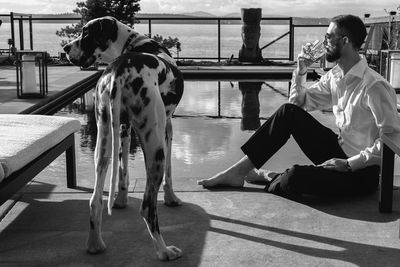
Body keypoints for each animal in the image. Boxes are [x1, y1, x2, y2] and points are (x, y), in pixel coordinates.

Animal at [63, 15, 184, 260]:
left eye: (86, 32)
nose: (65, 49)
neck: (133, 44)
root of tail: (119, 70)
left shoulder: (124, 129)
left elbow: (123, 169)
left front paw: (120, 200)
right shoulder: (167, 128)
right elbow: (169, 173)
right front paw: (172, 199)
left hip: (103, 142)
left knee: (95, 201)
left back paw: (95, 244)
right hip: (155, 148)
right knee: (147, 207)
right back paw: (164, 250)